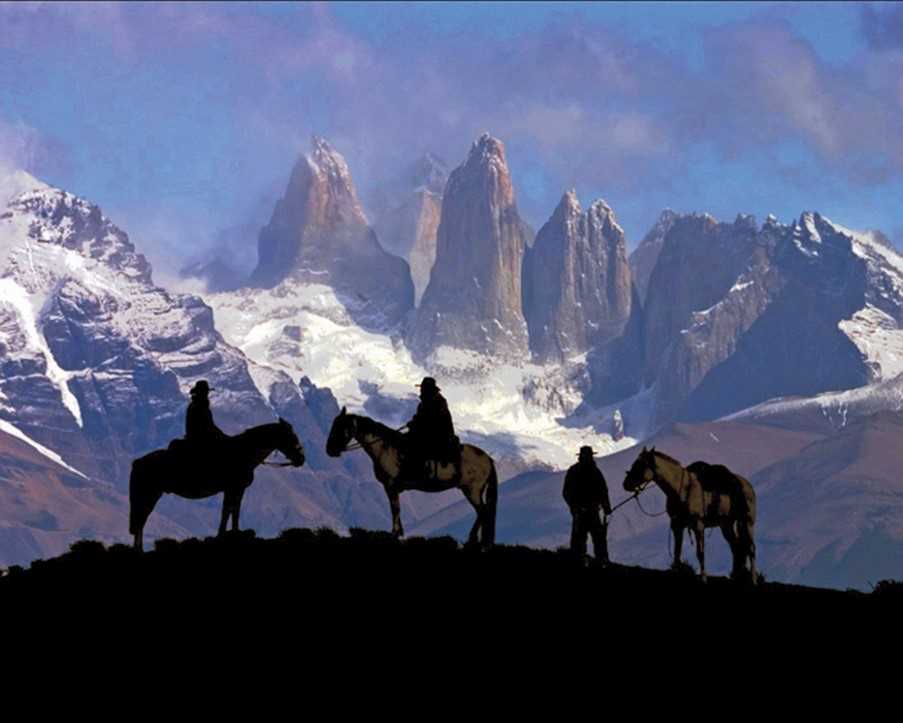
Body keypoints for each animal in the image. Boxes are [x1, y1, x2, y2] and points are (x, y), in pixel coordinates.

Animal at [129, 418, 308, 548]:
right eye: (291, 437)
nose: (301, 459)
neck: (244, 453)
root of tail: (139, 461)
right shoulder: (232, 489)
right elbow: (228, 511)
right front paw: (224, 535)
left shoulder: (237, 490)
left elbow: (233, 511)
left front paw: (232, 532)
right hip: (149, 495)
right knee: (140, 520)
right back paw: (139, 550)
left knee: (140, 521)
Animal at [324, 408, 498, 548]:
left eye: (340, 427)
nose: (330, 450)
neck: (385, 448)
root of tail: (487, 459)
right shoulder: (392, 487)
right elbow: (396, 509)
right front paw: (399, 533)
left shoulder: (390, 486)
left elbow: (395, 508)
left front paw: (394, 534)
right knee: (482, 512)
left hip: (472, 490)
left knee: (482, 511)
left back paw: (472, 540)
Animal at [620, 446, 756, 584]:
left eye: (641, 465)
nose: (626, 484)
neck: (681, 489)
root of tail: (747, 485)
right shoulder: (677, 526)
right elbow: (677, 552)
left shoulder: (698, 525)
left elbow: (700, 552)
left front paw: (703, 578)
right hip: (726, 525)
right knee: (736, 547)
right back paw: (736, 575)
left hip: (747, 522)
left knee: (750, 548)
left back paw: (753, 579)